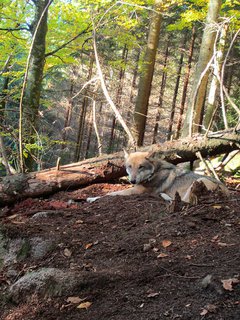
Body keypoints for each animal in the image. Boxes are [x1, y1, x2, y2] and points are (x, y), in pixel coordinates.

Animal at [86, 151, 229, 205]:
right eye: (130, 167)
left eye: (141, 167)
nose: (132, 181)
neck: (153, 173)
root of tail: (226, 192)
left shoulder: (136, 190)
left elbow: (109, 194)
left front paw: (92, 198)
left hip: (198, 182)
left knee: (181, 201)